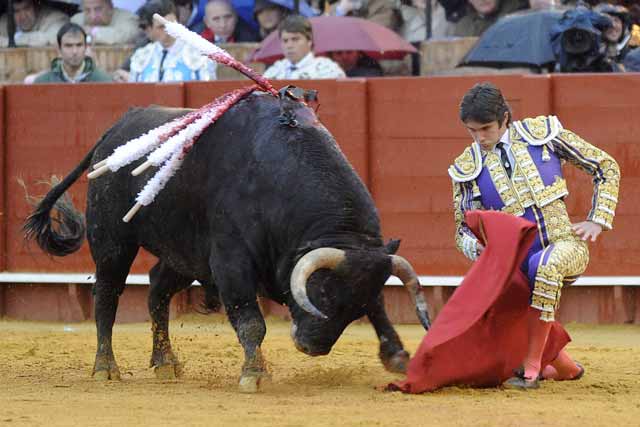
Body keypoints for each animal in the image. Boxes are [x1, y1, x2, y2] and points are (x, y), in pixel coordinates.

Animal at [23, 94, 430, 394]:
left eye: (354, 306)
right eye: (322, 293)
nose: (312, 347)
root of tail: (115, 129)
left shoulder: (367, 263)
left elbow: (380, 310)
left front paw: (396, 355)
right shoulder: (231, 261)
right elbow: (250, 321)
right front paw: (254, 374)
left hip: (184, 252)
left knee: (157, 290)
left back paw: (165, 363)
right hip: (112, 240)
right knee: (107, 295)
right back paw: (106, 368)